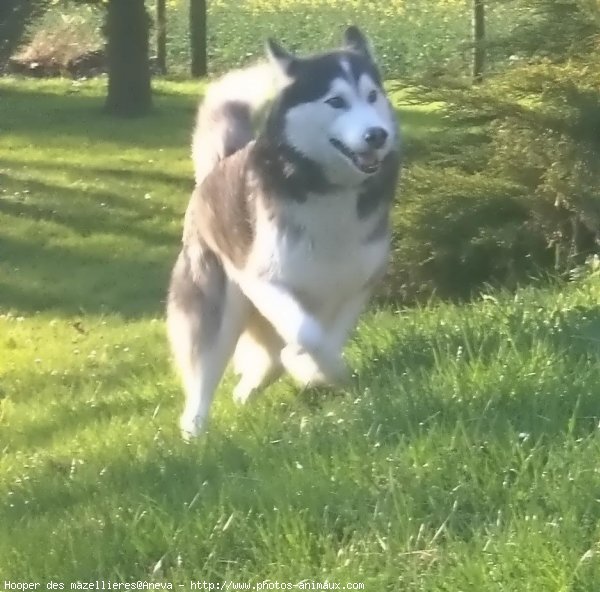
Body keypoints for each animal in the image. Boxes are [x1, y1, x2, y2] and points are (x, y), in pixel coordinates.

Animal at [166, 26, 400, 440]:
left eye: (372, 95)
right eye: (336, 101)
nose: (378, 135)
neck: (328, 190)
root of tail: (220, 164)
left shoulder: (358, 283)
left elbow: (328, 340)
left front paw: (320, 371)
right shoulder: (265, 280)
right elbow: (308, 335)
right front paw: (308, 368)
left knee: (267, 362)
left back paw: (247, 390)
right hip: (221, 303)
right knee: (205, 372)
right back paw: (194, 429)